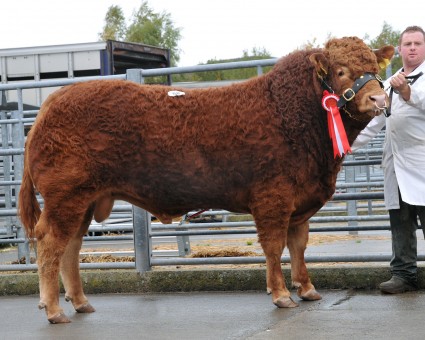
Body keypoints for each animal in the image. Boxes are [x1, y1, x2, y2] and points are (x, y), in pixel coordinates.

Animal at [18, 35, 392, 322]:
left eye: (375, 70)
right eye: (341, 71)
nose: (379, 97)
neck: (292, 114)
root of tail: (54, 100)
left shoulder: (301, 203)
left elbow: (298, 246)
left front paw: (308, 289)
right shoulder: (272, 198)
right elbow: (273, 247)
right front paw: (281, 294)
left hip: (84, 200)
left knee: (70, 247)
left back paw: (81, 302)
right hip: (66, 197)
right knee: (50, 244)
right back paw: (54, 309)